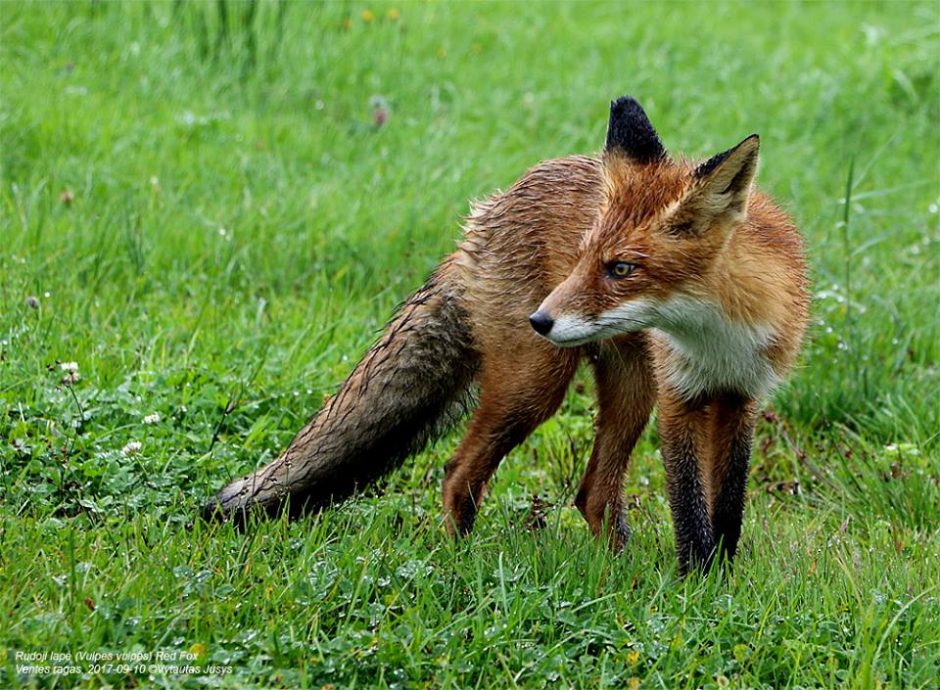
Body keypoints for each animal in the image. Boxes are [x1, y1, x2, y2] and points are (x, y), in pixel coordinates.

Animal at [206, 95, 808, 568]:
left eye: (622, 268)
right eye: (585, 258)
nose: (539, 319)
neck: (716, 336)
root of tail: (486, 211)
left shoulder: (742, 396)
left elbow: (726, 510)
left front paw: (719, 585)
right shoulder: (679, 397)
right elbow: (689, 511)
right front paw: (694, 589)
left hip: (630, 391)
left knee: (592, 495)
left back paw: (622, 574)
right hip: (537, 386)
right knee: (457, 472)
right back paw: (459, 566)